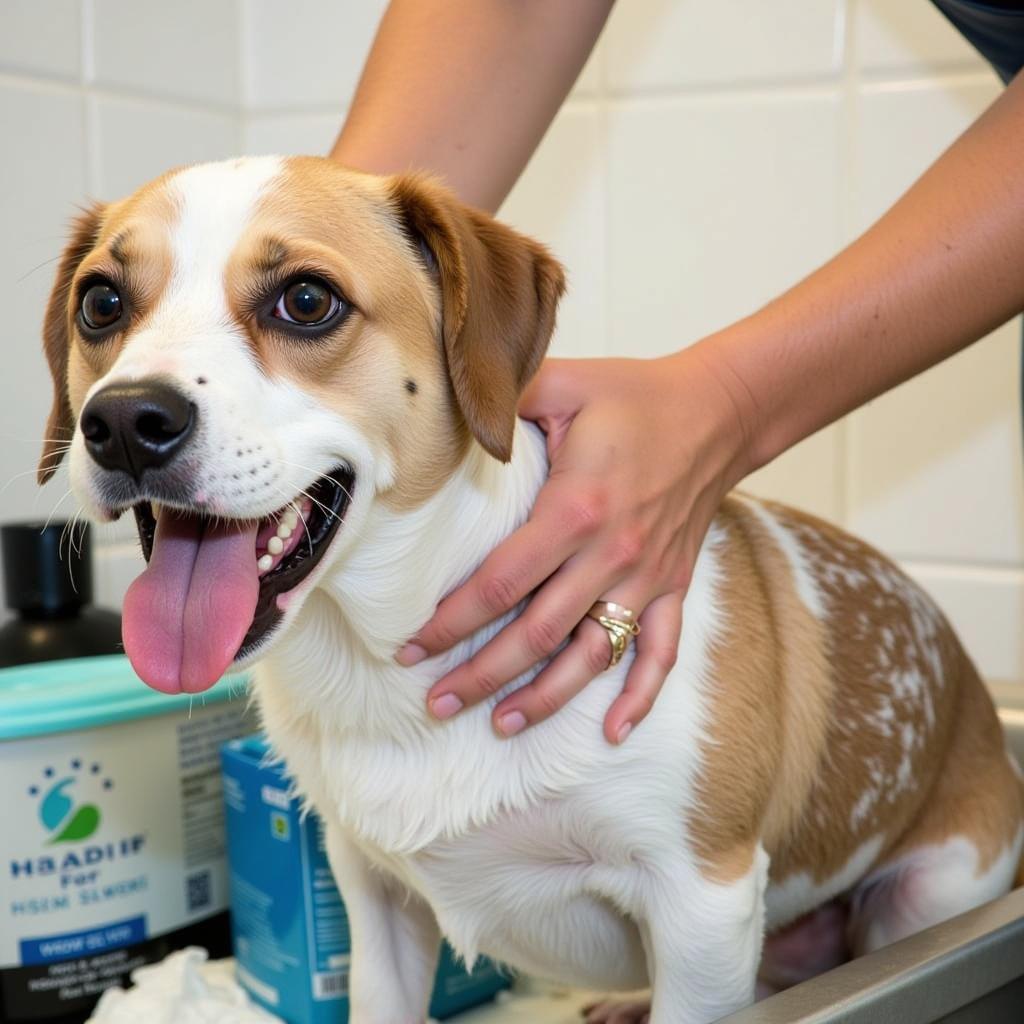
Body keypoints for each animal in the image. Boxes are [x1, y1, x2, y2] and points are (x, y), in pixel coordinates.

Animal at [34, 155, 1024, 1019]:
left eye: (307, 300)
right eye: (101, 301)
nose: (126, 422)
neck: (387, 664)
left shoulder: (703, 903)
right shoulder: (374, 901)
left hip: (925, 892)